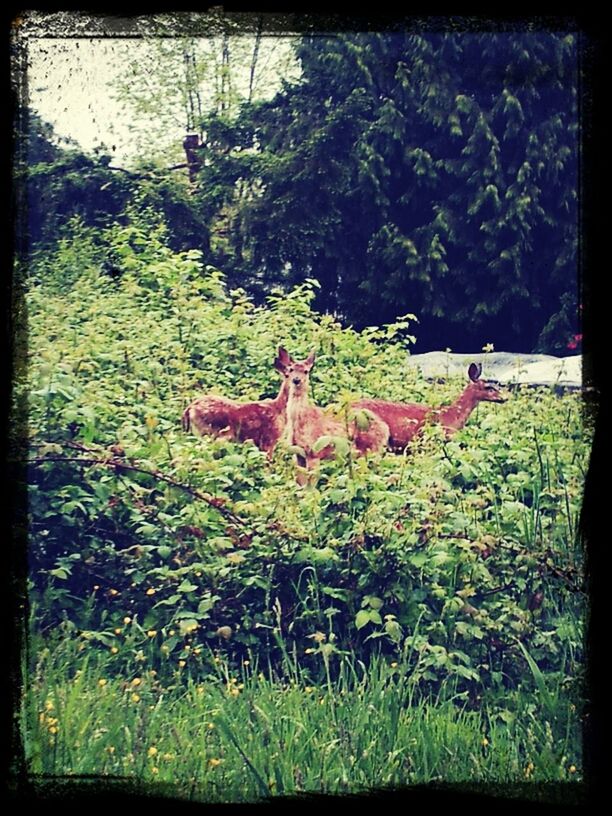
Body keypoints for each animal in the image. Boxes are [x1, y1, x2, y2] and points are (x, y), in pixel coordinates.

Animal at [282, 350, 388, 478]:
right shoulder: (298, 454)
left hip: (371, 449)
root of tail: (385, 428)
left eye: (306, 371)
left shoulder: (315, 452)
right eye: (291, 369)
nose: (296, 380)